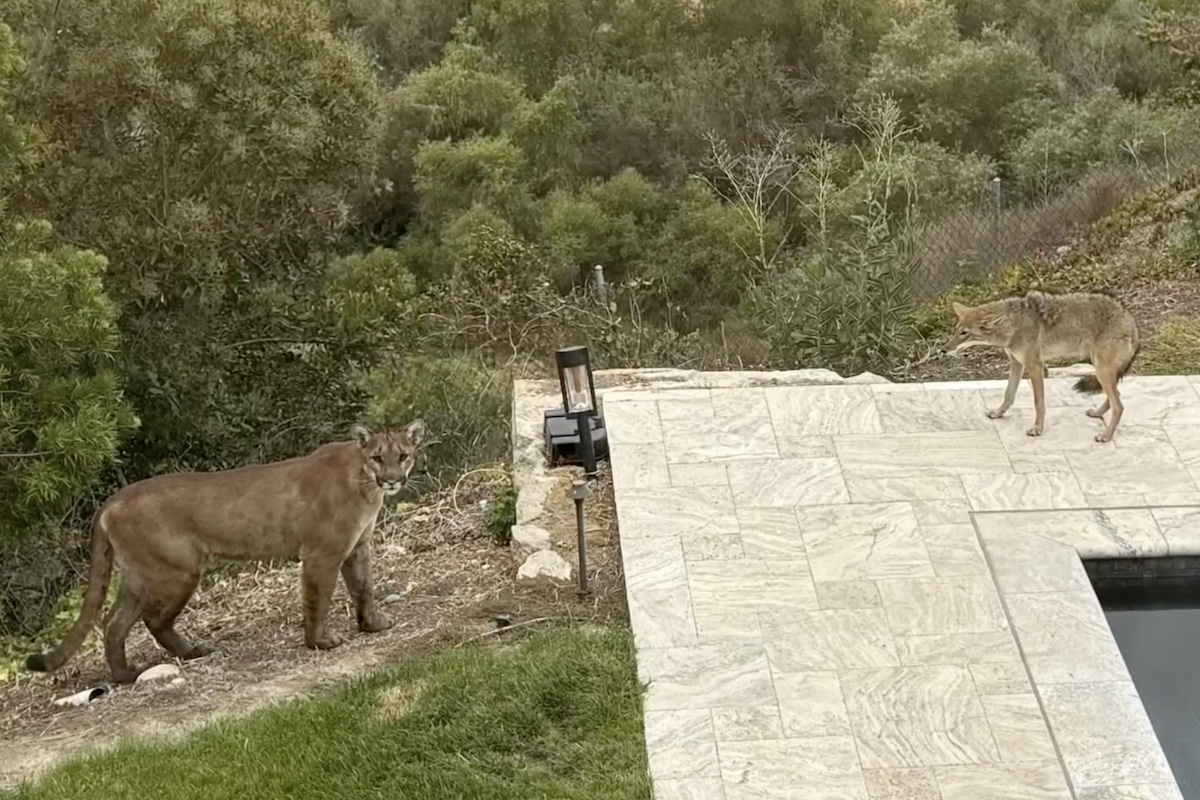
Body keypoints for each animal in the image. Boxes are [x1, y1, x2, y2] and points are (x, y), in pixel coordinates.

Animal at [25, 421, 427, 684]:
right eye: (377, 457)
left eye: (403, 455)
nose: (393, 479)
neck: (364, 483)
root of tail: (112, 500)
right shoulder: (321, 554)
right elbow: (318, 600)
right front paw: (320, 642)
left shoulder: (356, 547)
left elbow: (363, 588)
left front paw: (372, 624)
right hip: (178, 570)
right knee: (151, 620)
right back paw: (184, 654)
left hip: (141, 574)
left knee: (114, 622)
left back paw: (128, 673)